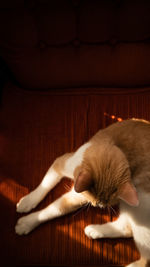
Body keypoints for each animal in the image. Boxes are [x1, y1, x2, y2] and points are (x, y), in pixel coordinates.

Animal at [15, 120, 150, 267]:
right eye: (96, 203)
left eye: (100, 204)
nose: (97, 205)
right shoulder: (62, 164)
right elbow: (45, 185)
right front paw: (28, 202)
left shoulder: (77, 196)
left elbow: (54, 210)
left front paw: (27, 222)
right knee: (126, 228)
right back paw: (95, 231)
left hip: (140, 204)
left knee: (144, 254)